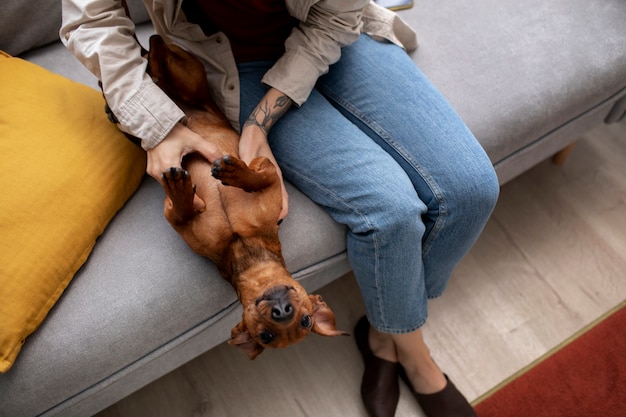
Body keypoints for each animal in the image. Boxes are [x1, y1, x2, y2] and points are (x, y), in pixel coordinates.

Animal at [144, 35, 346, 358]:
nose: (282, 310)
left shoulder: (175, 217)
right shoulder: (266, 168)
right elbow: (259, 175)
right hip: (190, 79)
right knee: (159, 63)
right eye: (266, 335)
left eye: (304, 321)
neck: (242, 246)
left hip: (187, 80)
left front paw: (184, 188)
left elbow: (182, 210)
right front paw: (234, 173)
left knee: (160, 66)